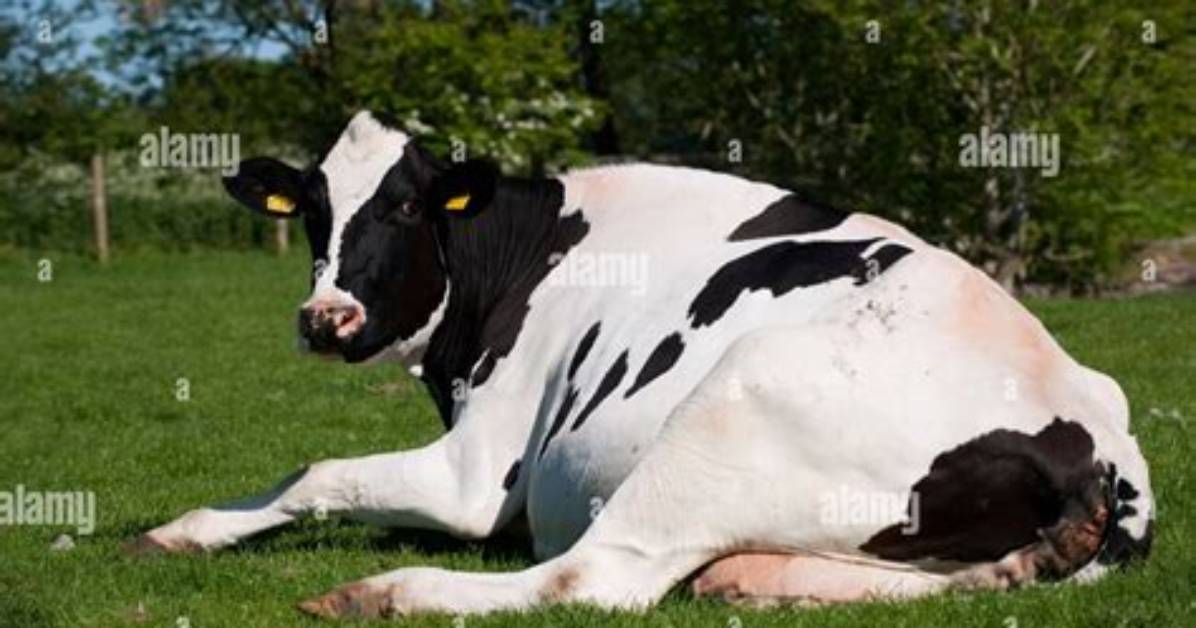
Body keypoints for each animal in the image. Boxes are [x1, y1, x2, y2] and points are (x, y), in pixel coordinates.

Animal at [131, 111, 1154, 618]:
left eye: (409, 206)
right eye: (311, 209)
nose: (326, 318)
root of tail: (1097, 441)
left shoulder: (479, 476)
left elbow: (319, 471)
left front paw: (188, 528)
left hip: (734, 403)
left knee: (593, 579)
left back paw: (383, 595)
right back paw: (750, 581)